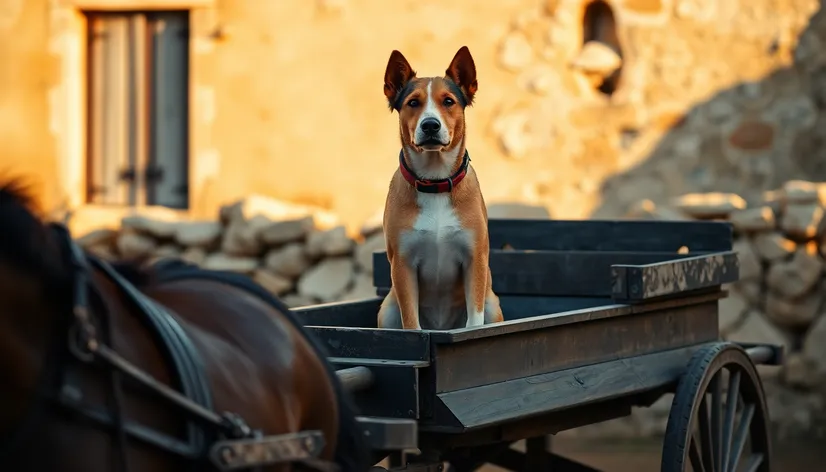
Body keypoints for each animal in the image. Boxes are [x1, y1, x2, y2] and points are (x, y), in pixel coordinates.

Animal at [374, 46, 502, 330]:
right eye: (413, 103)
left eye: (448, 101)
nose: (430, 124)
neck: (435, 183)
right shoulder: (403, 264)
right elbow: (412, 324)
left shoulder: (475, 259)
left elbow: (474, 322)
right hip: (388, 309)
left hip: (492, 303)